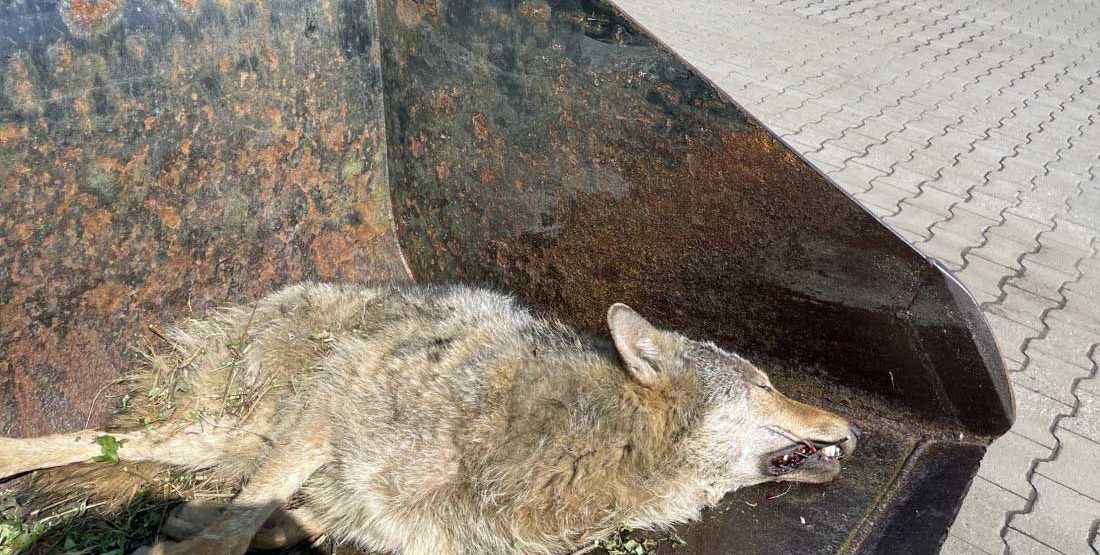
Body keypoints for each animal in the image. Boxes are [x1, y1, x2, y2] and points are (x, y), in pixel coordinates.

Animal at [0, 282, 859, 554]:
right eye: (766, 385)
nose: (856, 429)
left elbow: (262, 517)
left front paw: (202, 528)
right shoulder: (333, 400)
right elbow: (233, 529)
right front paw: (197, 542)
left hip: (232, 436)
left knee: (149, 454)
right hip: (249, 419)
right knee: (122, 442)